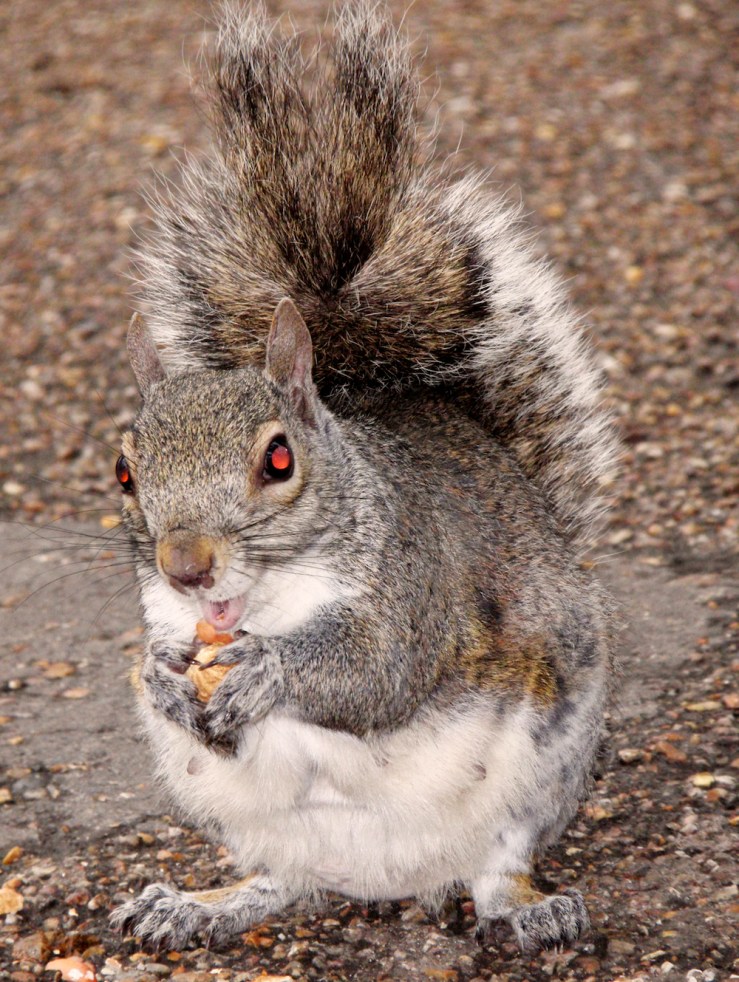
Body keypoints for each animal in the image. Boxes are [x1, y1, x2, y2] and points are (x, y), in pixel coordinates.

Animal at [110, 1, 618, 956]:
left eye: (278, 459)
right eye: (125, 471)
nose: (185, 567)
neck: (266, 599)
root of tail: (387, 880)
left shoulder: (417, 588)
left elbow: (378, 673)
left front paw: (272, 670)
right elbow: (169, 671)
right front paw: (160, 674)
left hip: (540, 771)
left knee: (497, 872)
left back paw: (532, 909)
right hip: (233, 811)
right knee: (279, 882)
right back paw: (195, 905)